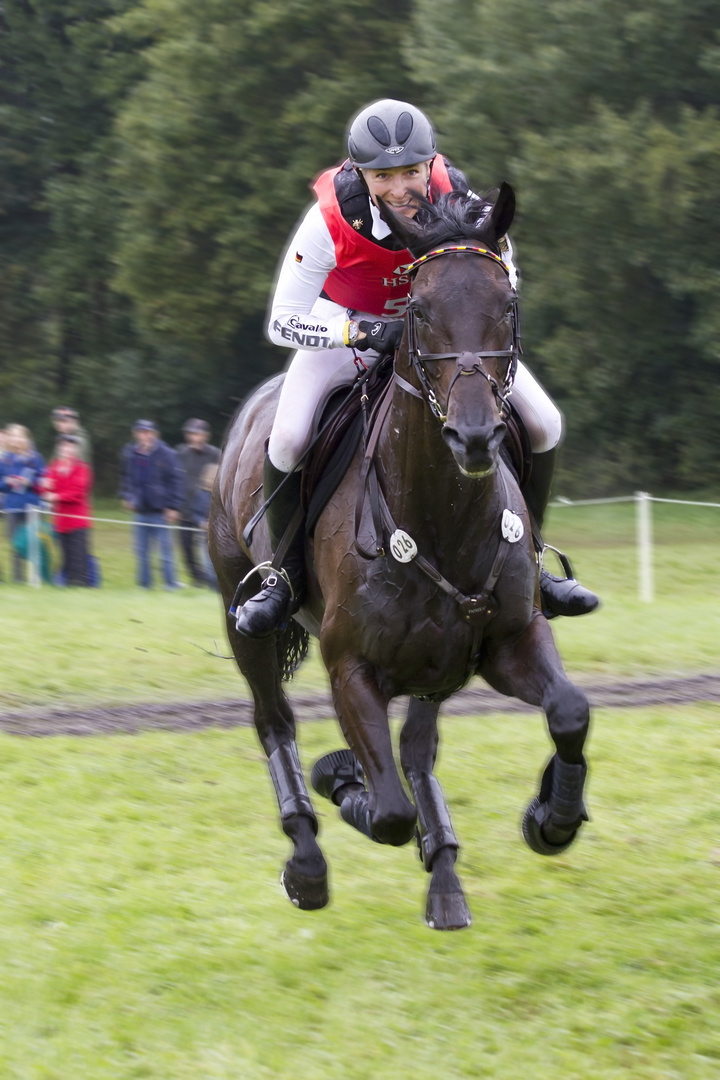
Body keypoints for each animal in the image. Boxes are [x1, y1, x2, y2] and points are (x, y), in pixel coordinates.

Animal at [208, 183, 591, 928]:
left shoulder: (508, 641)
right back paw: (308, 858)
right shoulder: (350, 667)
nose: (474, 436)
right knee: (274, 720)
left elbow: (568, 712)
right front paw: (341, 777)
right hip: (244, 619)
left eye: (507, 304)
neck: (443, 515)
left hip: (436, 665)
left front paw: (552, 818)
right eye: (417, 310)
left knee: (417, 751)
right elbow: (385, 811)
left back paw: (445, 876)